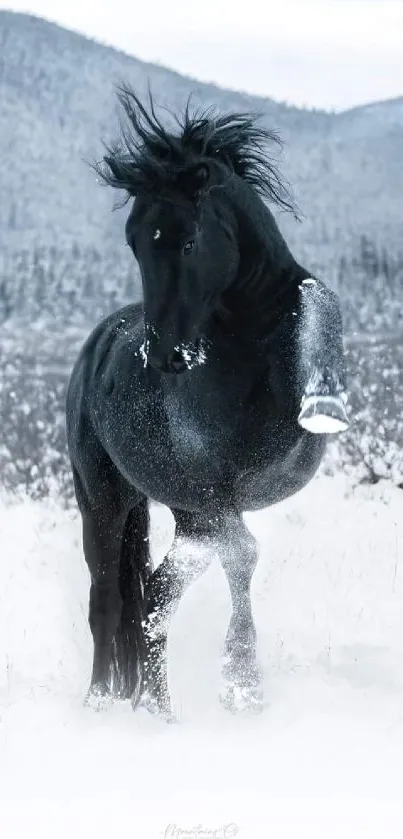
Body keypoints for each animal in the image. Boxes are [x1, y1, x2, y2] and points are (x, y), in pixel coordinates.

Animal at [67, 83, 350, 716]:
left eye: (189, 241)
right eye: (135, 244)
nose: (166, 356)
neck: (248, 348)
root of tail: (96, 345)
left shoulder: (220, 496)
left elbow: (317, 297)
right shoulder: (210, 489)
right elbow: (240, 553)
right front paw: (242, 680)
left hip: (175, 511)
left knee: (152, 604)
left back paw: (160, 710)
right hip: (105, 499)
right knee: (110, 603)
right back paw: (100, 704)